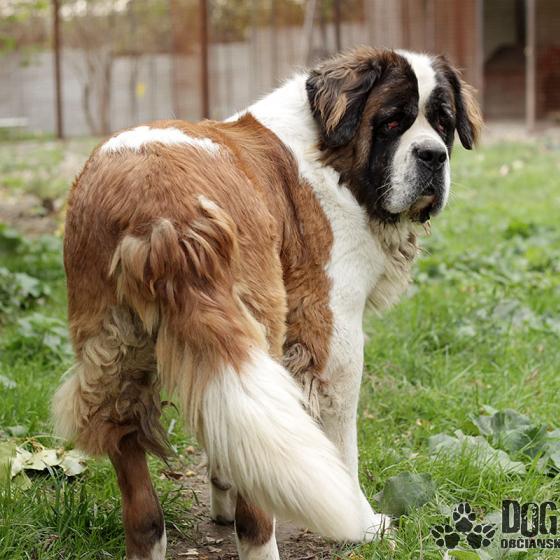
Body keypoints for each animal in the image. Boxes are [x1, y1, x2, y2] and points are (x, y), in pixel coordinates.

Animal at [52, 47, 482, 560]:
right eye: (393, 122)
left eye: (443, 123)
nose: (433, 155)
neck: (329, 157)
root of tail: (161, 210)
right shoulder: (332, 332)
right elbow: (341, 443)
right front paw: (365, 524)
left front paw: (221, 491)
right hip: (261, 322)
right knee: (257, 514)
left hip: (112, 349)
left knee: (140, 489)